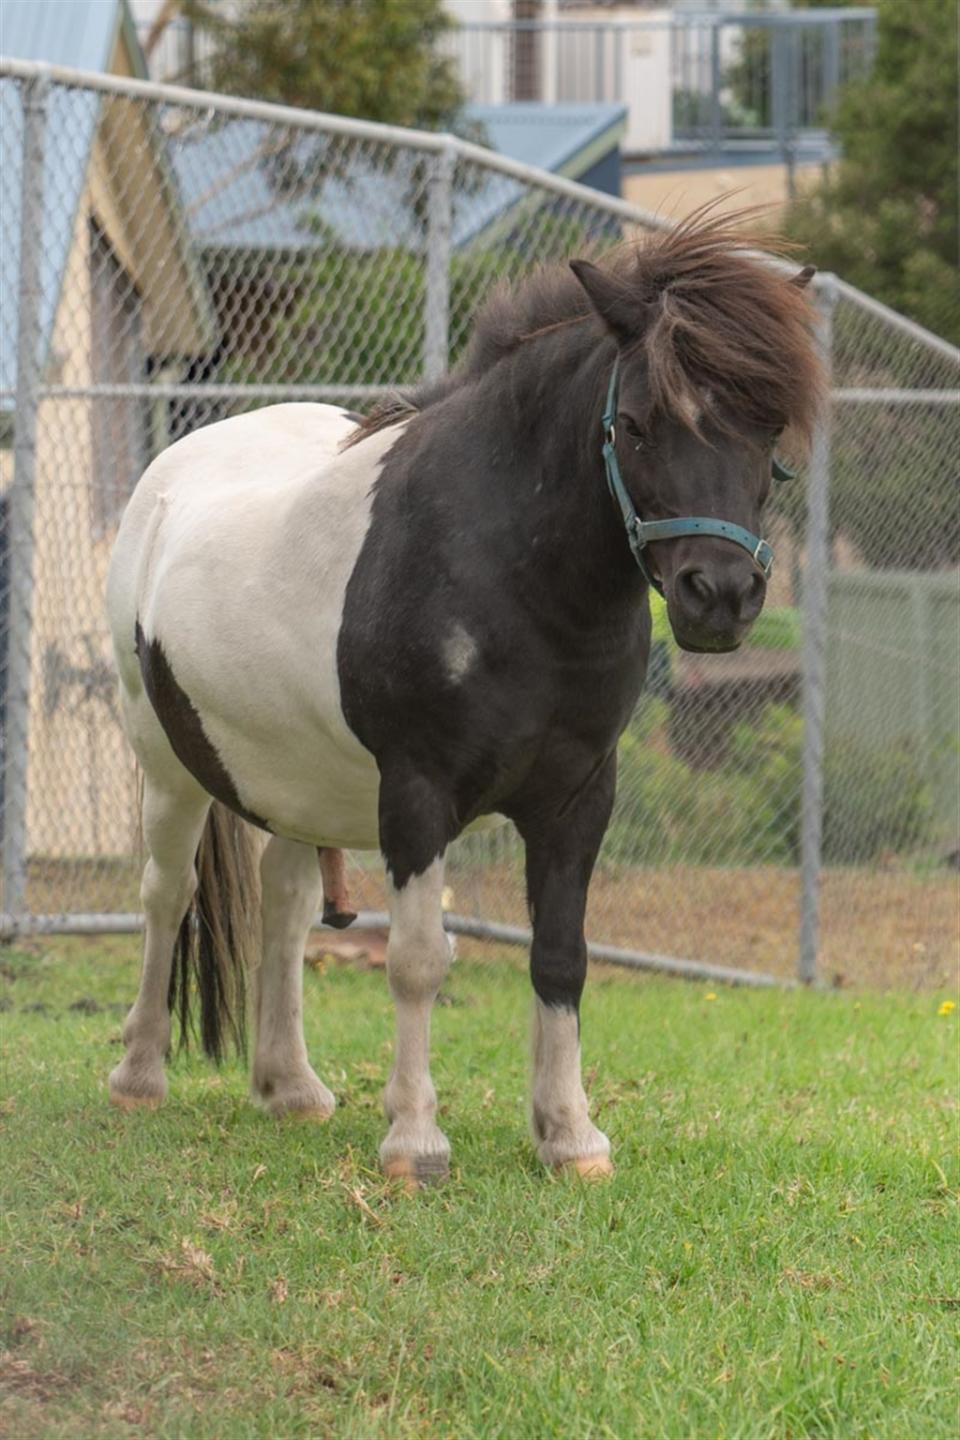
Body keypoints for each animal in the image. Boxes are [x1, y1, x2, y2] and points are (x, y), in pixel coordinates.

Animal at [108, 210, 823, 1180]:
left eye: (768, 429)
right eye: (638, 425)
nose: (720, 595)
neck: (507, 570)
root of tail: (174, 468)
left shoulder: (579, 798)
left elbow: (561, 957)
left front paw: (569, 1134)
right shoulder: (419, 792)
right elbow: (417, 960)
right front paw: (414, 1140)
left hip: (292, 779)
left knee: (285, 904)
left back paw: (289, 1085)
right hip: (168, 768)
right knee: (166, 894)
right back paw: (140, 1074)